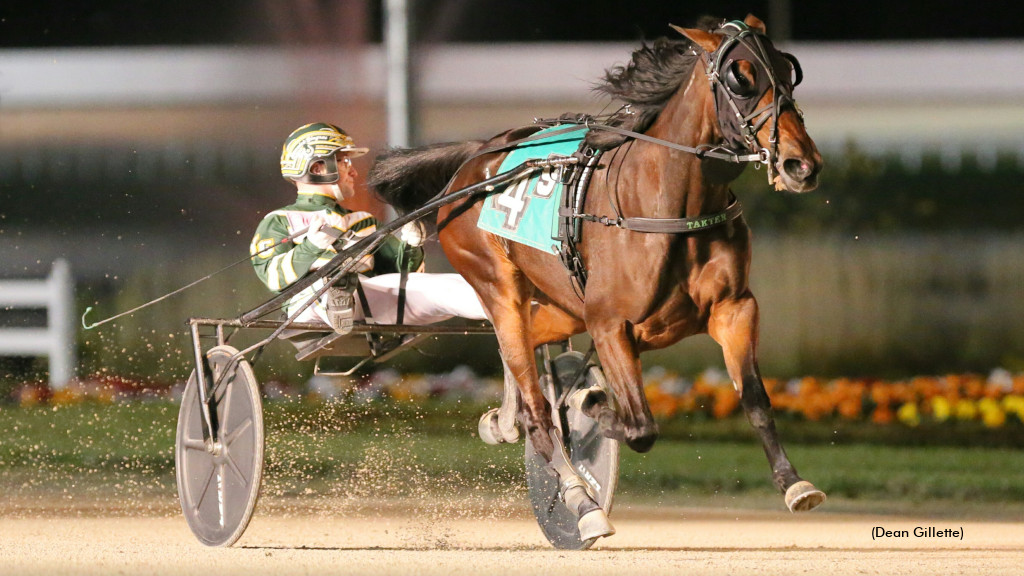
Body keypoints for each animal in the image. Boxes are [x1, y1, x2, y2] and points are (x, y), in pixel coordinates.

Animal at [369, 14, 825, 542]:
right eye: (740, 78)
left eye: (789, 72)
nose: (800, 164)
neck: (668, 205)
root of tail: (475, 160)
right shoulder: (610, 325)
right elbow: (638, 425)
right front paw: (591, 405)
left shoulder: (735, 308)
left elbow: (754, 399)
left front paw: (795, 484)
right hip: (497, 285)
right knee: (537, 406)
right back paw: (580, 502)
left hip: (563, 306)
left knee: (524, 353)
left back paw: (504, 420)